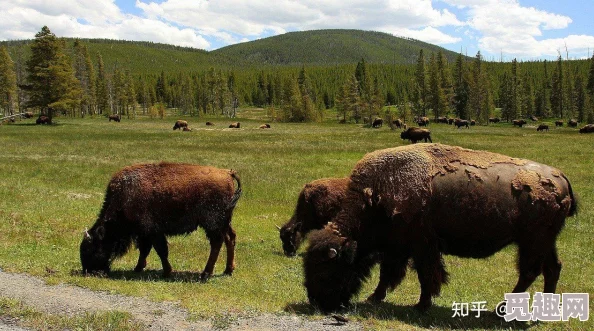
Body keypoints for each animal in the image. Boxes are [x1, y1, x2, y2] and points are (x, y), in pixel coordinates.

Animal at [80, 162, 242, 282]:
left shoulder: (152, 232)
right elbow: (146, 250)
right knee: (230, 238)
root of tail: (227, 173)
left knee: (216, 244)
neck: (124, 198)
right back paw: (228, 270)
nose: (88, 271)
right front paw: (138, 268)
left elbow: (160, 250)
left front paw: (166, 271)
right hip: (224, 223)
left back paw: (205, 274)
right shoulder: (145, 234)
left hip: (212, 224)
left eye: (91, 248)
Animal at [300, 144, 572, 312]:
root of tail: (561, 177)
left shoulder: (421, 246)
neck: (375, 197)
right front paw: (374, 297)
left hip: (532, 242)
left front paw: (421, 305)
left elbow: (425, 275)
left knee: (530, 272)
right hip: (545, 242)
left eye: (325, 271)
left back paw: (502, 309)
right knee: (552, 268)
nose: (316, 301)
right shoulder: (397, 248)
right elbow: (388, 274)